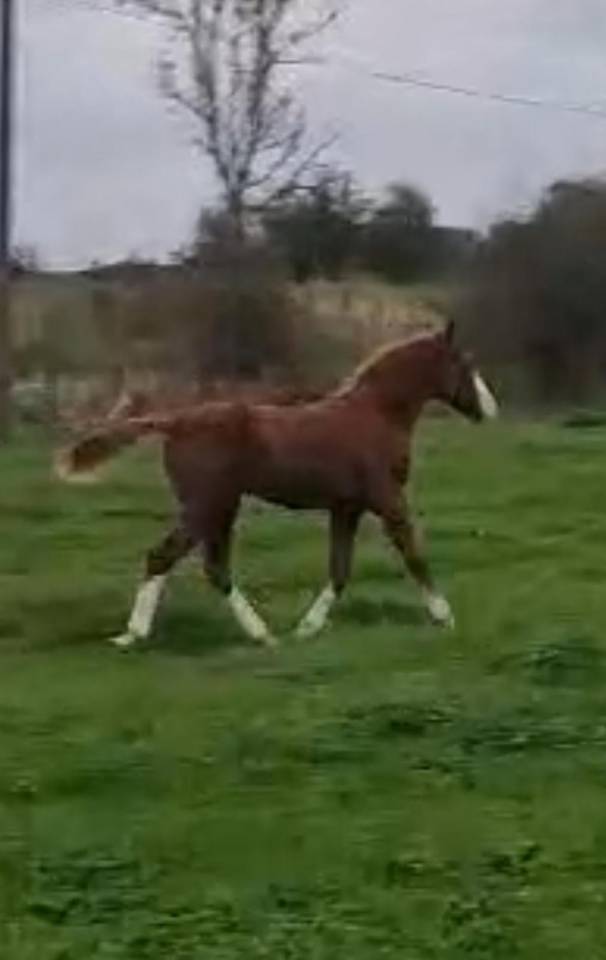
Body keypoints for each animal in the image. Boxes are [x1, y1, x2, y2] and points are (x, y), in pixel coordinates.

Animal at [55, 322, 498, 649]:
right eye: (465, 363)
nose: (489, 410)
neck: (377, 414)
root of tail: (175, 421)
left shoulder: (346, 507)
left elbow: (340, 569)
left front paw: (308, 628)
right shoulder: (386, 497)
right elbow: (413, 554)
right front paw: (445, 617)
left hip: (222, 508)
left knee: (214, 567)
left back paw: (262, 635)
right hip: (207, 505)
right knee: (164, 557)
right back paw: (133, 635)